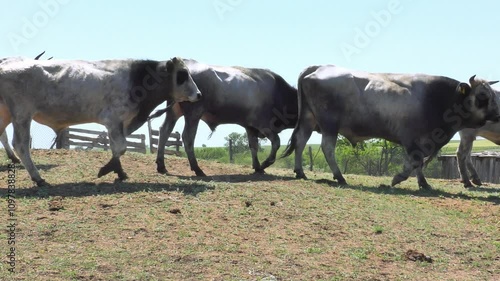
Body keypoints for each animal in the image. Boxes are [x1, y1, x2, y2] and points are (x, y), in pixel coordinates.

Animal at [1, 56, 203, 186]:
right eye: (182, 74)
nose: (199, 94)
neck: (137, 80)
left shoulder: (117, 125)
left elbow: (116, 148)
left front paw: (119, 172)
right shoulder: (113, 120)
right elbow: (121, 147)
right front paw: (106, 169)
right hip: (22, 115)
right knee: (21, 145)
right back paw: (38, 178)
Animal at [151, 58, 296, 175]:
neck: (278, 92)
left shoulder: (250, 127)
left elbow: (253, 146)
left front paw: (257, 167)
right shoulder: (262, 124)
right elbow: (276, 142)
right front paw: (265, 164)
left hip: (173, 113)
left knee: (164, 131)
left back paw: (161, 166)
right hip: (193, 114)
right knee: (187, 137)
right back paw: (197, 169)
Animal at [284, 64, 498, 188]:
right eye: (482, 97)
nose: (497, 114)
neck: (437, 98)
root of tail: (319, 67)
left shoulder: (425, 140)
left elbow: (419, 162)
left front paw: (422, 183)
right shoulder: (412, 139)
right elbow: (415, 161)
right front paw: (400, 179)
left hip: (309, 119)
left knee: (301, 141)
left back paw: (300, 172)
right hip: (329, 124)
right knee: (327, 148)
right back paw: (339, 176)